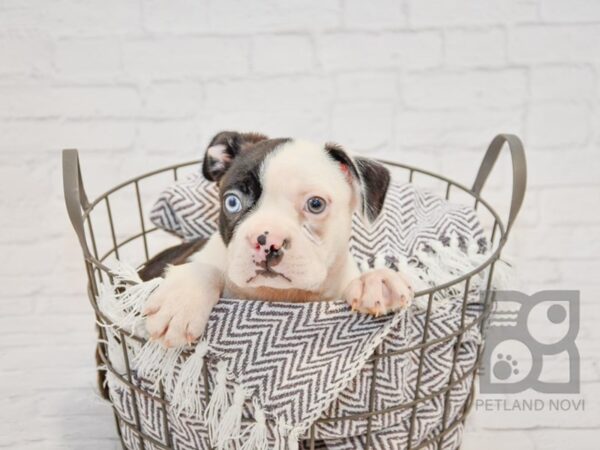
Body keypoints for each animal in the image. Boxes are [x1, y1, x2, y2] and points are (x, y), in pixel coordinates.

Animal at [145, 131, 412, 348]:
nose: (267, 239)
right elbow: (204, 269)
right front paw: (181, 302)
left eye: (316, 204)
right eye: (232, 202)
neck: (280, 295)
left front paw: (376, 280)